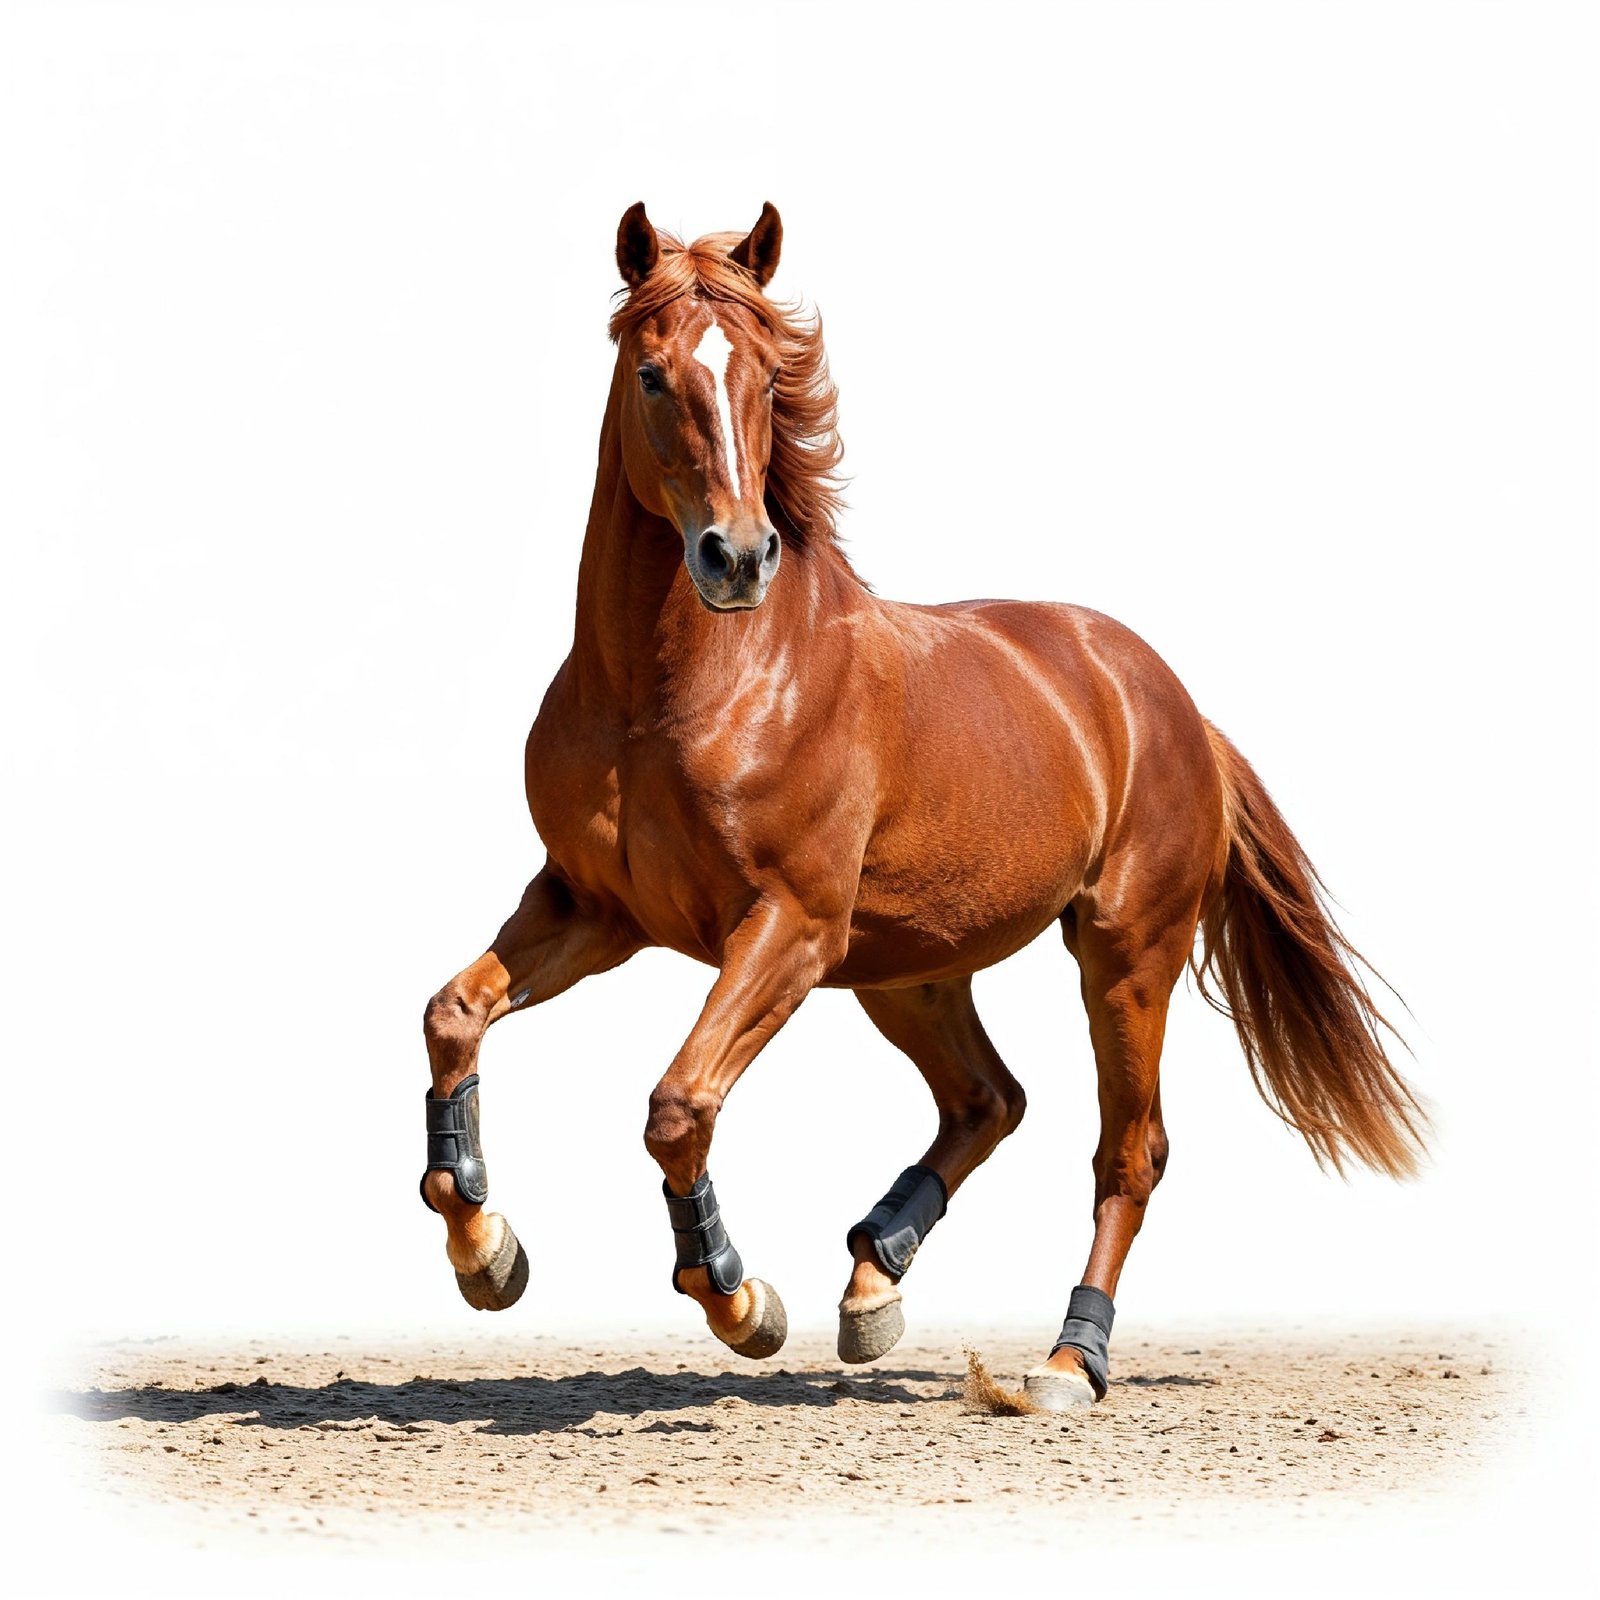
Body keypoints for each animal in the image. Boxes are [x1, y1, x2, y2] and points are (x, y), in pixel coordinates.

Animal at [419, 202, 1426, 1409]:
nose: (737, 556)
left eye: (765, 376)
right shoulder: (590, 908)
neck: (671, 692)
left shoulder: (787, 926)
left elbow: (679, 1104)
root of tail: (1170, 703)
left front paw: (740, 1302)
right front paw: (485, 1251)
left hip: (1121, 953)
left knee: (1126, 1149)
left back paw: (1066, 1360)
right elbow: (452, 1015)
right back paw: (873, 1279)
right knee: (990, 1099)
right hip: (906, 968)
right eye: (653, 374)